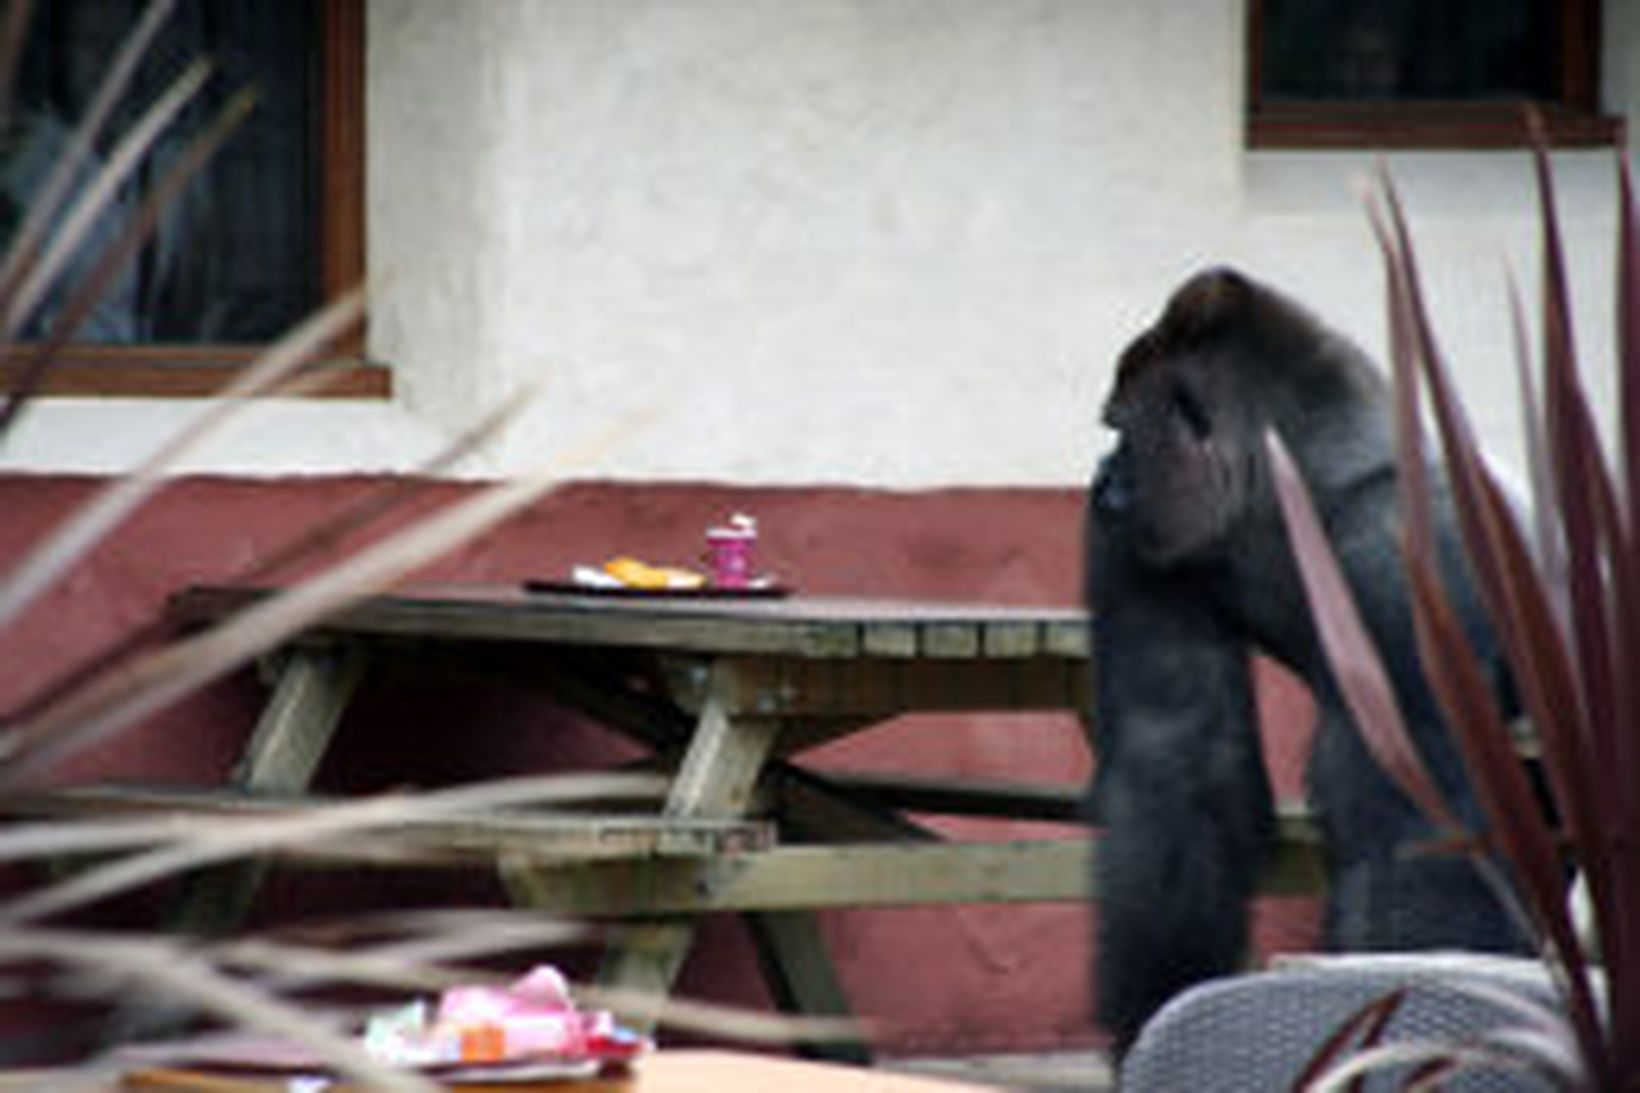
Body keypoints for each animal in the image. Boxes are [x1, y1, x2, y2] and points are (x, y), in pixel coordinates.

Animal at [1088, 264, 1521, 1050]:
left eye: (1120, 432)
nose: (1101, 480)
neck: (1305, 483)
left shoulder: (1403, 559)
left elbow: (1412, 838)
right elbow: (1178, 762)